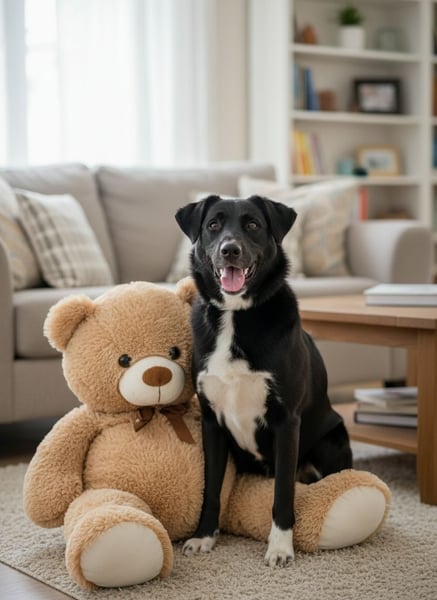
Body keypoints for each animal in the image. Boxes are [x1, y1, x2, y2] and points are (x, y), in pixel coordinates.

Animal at [175, 194, 352, 567]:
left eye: (253, 225)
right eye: (213, 225)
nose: (230, 249)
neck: (235, 315)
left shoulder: (287, 421)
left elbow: (283, 492)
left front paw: (280, 547)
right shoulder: (211, 422)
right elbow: (211, 489)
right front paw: (204, 537)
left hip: (330, 441)